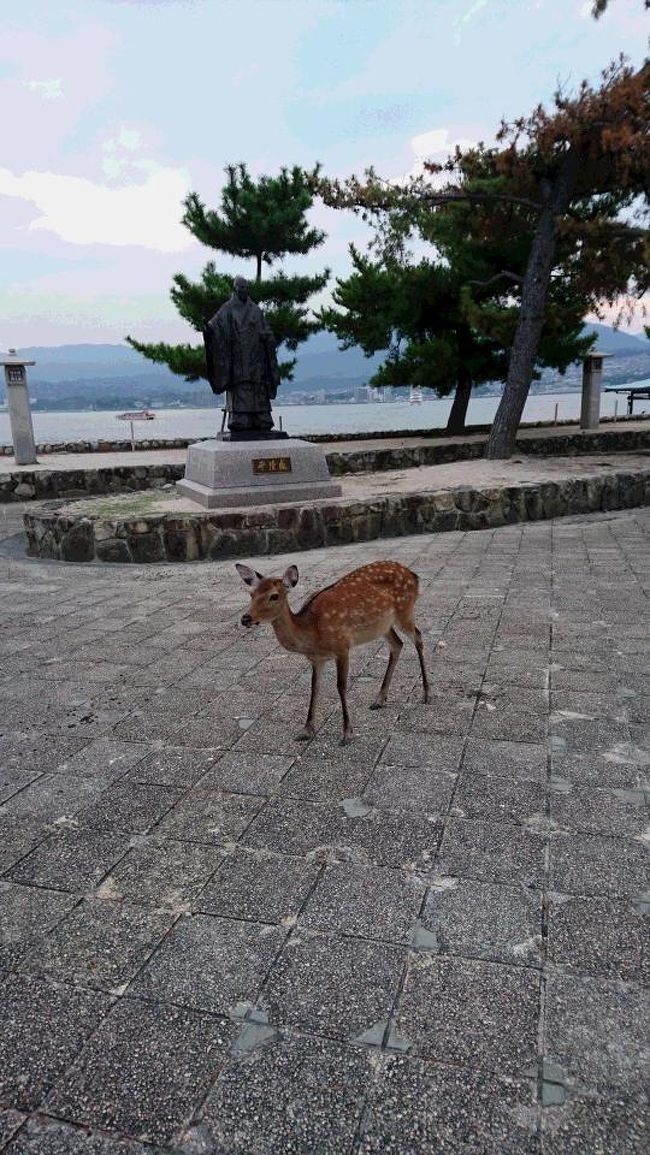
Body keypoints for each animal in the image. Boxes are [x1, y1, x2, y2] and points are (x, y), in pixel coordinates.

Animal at [236, 556, 429, 739]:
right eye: (251, 594)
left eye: (274, 596)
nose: (245, 618)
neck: (313, 631)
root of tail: (413, 575)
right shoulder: (317, 659)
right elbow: (315, 688)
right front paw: (306, 730)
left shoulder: (342, 646)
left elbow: (341, 686)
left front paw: (347, 732)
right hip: (383, 625)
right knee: (397, 644)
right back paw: (379, 699)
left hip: (405, 610)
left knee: (418, 637)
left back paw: (426, 694)